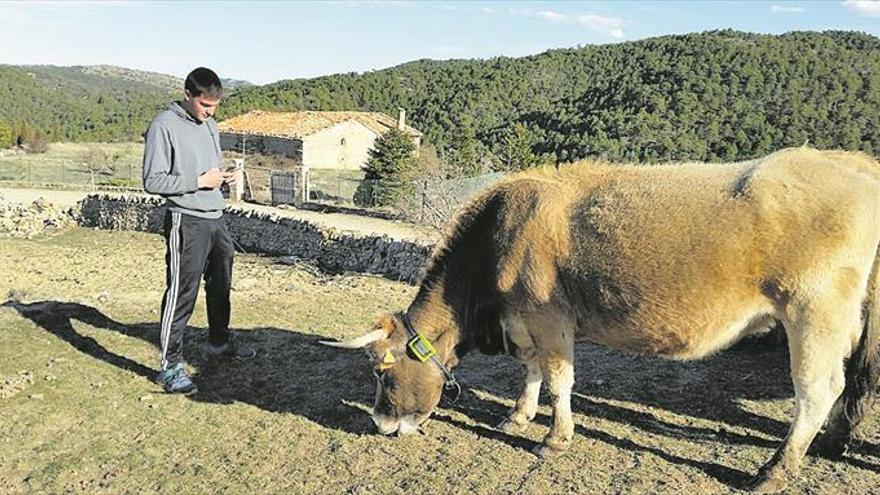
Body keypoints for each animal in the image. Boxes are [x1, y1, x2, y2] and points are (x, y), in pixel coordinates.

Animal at [322, 149, 880, 494]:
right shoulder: (523, 321)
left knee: (817, 389)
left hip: (813, 312)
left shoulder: (549, 316)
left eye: (382, 371)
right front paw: (517, 416)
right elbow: (530, 372)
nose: (379, 424)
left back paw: (774, 470)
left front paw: (553, 438)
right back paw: (832, 441)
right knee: (847, 383)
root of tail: (849, 161)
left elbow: (559, 380)